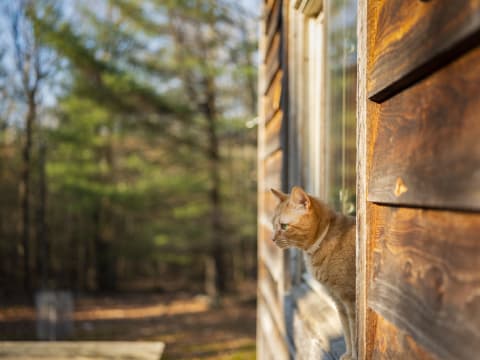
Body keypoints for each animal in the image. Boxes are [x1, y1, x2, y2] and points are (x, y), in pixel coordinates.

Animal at [270, 187, 356, 358]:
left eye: (283, 226)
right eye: (273, 225)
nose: (273, 239)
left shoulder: (351, 301)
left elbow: (355, 335)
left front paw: (355, 356)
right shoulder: (339, 302)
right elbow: (347, 332)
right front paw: (348, 355)